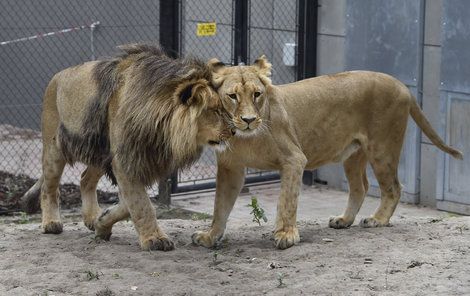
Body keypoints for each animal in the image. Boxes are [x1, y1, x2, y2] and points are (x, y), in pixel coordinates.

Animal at [23, 44, 232, 251]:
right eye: (215, 111)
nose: (233, 131)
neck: (162, 129)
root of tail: (56, 76)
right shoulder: (125, 160)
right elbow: (141, 203)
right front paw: (155, 239)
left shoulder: (139, 159)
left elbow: (129, 202)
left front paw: (102, 221)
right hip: (54, 149)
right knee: (49, 187)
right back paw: (51, 223)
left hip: (101, 154)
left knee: (84, 179)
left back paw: (91, 217)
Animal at [191, 56, 462, 250]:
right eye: (232, 96)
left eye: (257, 94)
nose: (248, 120)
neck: (244, 137)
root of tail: (402, 86)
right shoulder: (230, 168)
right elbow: (220, 205)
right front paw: (210, 236)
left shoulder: (294, 159)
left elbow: (286, 200)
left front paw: (286, 235)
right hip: (354, 154)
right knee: (360, 187)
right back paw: (344, 220)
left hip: (383, 148)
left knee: (393, 187)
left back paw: (377, 220)